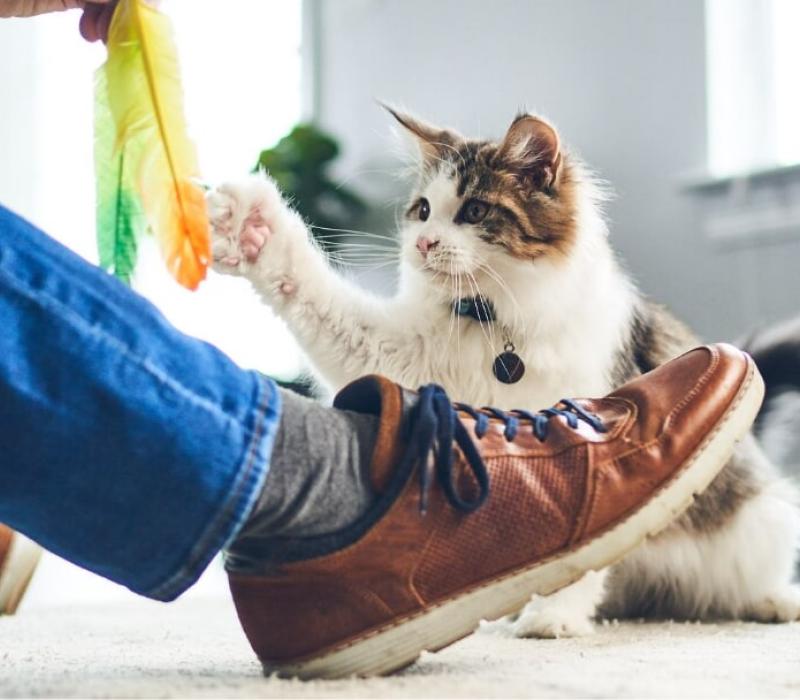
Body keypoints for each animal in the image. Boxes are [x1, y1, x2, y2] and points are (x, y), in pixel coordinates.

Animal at [208, 106, 800, 636]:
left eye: (473, 212)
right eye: (423, 209)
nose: (422, 243)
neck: (492, 325)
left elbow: (581, 551)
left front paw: (552, 618)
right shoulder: (407, 359)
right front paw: (252, 229)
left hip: (759, 524)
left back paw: (775, 603)